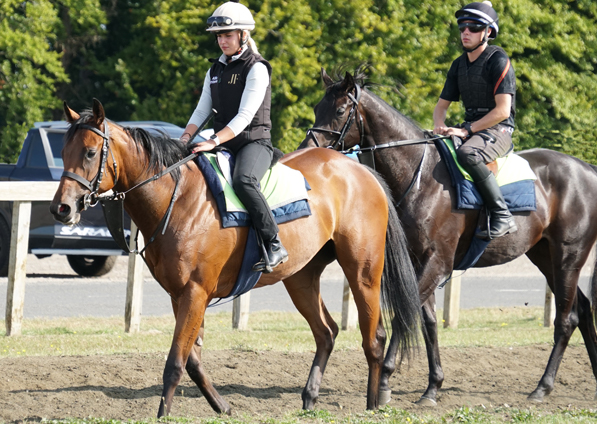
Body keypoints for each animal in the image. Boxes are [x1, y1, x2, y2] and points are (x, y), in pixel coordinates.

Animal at [50, 99, 424, 418]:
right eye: (64, 152)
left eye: (90, 152)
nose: (62, 208)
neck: (177, 197)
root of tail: (359, 169)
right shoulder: (179, 295)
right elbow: (192, 361)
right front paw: (222, 406)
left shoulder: (195, 293)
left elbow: (175, 362)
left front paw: (163, 414)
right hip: (301, 278)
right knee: (326, 332)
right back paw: (309, 399)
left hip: (363, 271)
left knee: (374, 337)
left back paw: (373, 405)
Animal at [300, 67, 596, 408]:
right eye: (316, 109)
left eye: (339, 111)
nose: (308, 148)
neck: (421, 177)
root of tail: (586, 169)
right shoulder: (419, 262)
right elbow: (427, 321)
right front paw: (432, 386)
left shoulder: (437, 262)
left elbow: (404, 315)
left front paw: (385, 381)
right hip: (545, 257)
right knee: (582, 309)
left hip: (568, 257)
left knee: (566, 318)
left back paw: (542, 387)